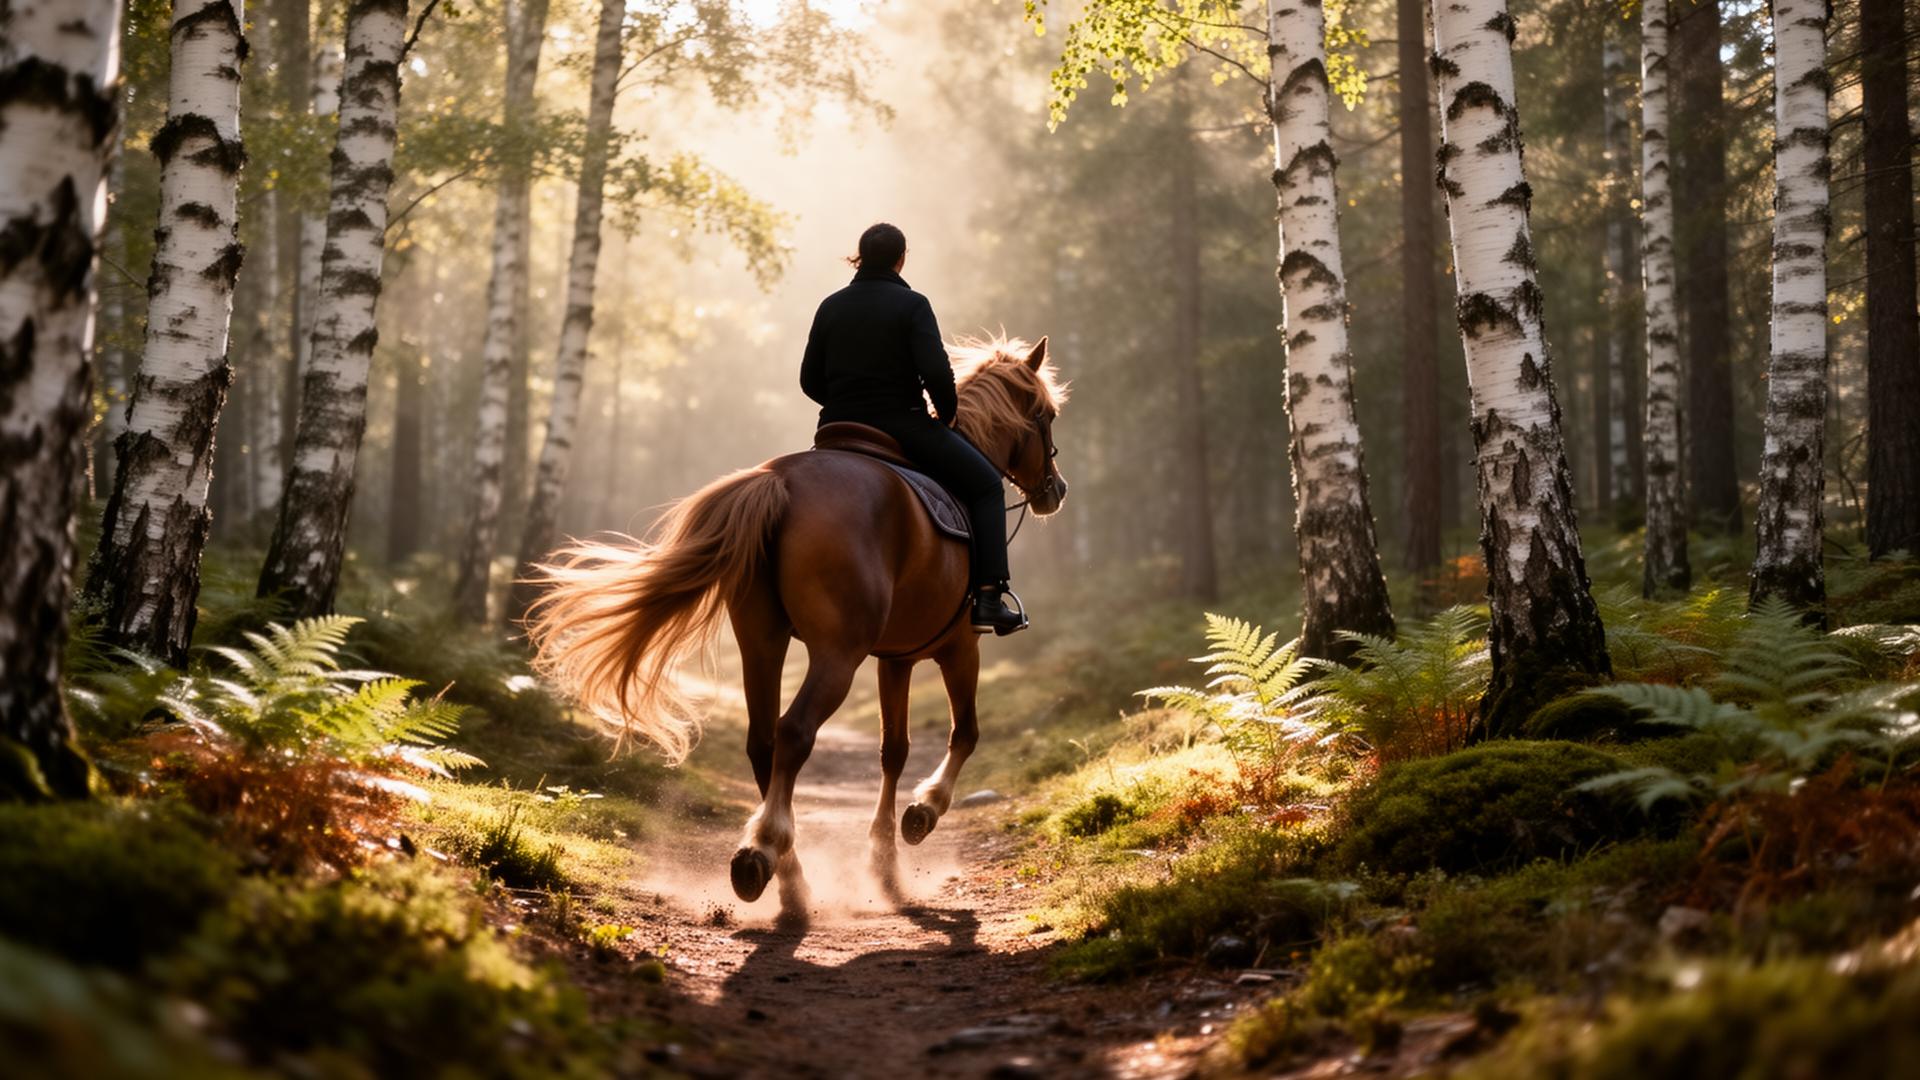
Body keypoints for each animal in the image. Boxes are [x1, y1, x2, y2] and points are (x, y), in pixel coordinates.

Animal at [526, 336, 1068, 916]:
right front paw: (921, 815)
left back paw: (789, 880)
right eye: (1046, 415)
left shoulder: (896, 659)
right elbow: (964, 733)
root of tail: (779, 481)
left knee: (763, 743)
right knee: (794, 732)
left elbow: (893, 751)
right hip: (837, 653)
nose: (1055, 490)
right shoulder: (959, 646)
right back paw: (762, 850)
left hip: (761, 642)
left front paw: (885, 865)